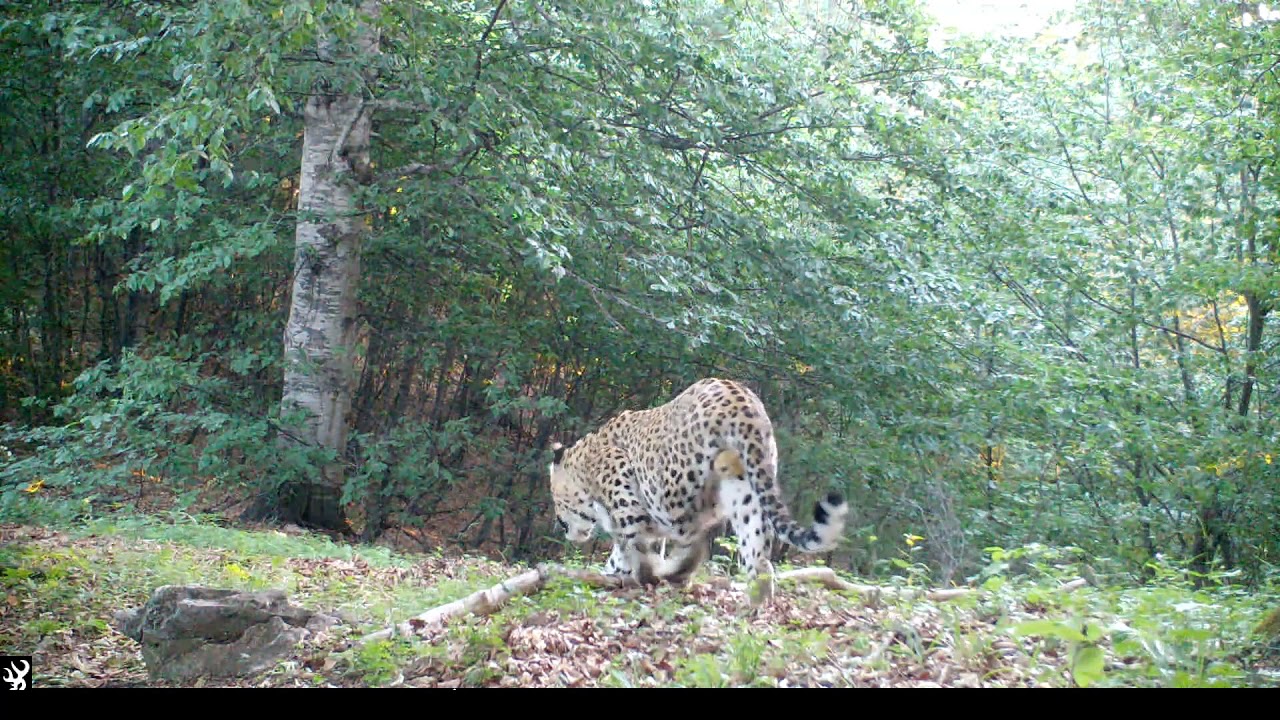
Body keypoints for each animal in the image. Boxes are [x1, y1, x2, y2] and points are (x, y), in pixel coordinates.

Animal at [546, 377, 849, 605]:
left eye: (556, 499)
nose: (561, 525)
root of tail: (741, 400)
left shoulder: (628, 504)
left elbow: (636, 548)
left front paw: (639, 576)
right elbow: (624, 552)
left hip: (669, 489)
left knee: (690, 532)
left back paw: (679, 571)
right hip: (746, 493)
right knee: (760, 561)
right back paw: (753, 610)